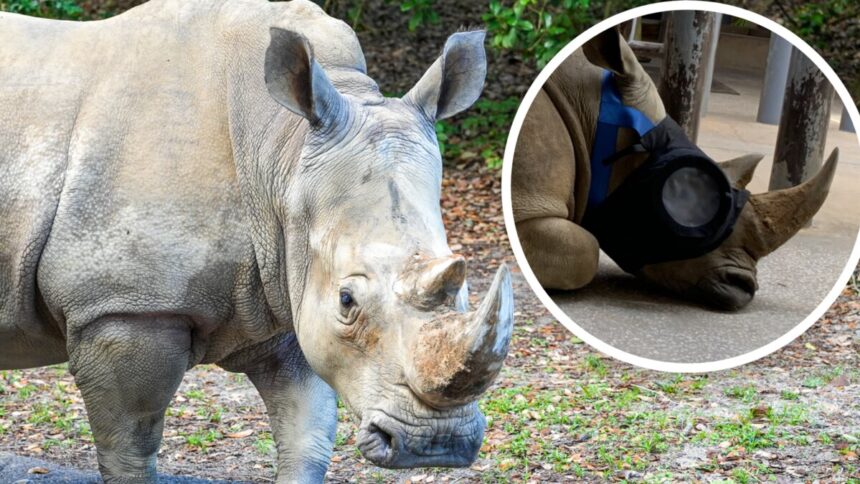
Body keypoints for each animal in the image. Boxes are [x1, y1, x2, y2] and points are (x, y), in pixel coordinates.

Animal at [0, 0, 515, 482]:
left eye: (466, 288)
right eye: (347, 300)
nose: (437, 444)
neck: (282, 150)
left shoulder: (290, 285)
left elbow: (307, 436)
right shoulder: (124, 308)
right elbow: (130, 452)